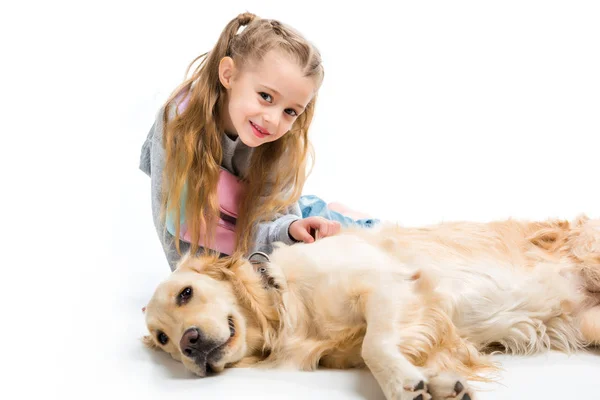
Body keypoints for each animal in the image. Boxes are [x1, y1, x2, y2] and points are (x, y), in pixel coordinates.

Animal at [142, 216, 600, 400]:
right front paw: (438, 385)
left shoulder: (390, 285)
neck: (285, 301)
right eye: (163, 339)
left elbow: (375, 346)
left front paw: (403, 385)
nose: (189, 344)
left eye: (186, 293)